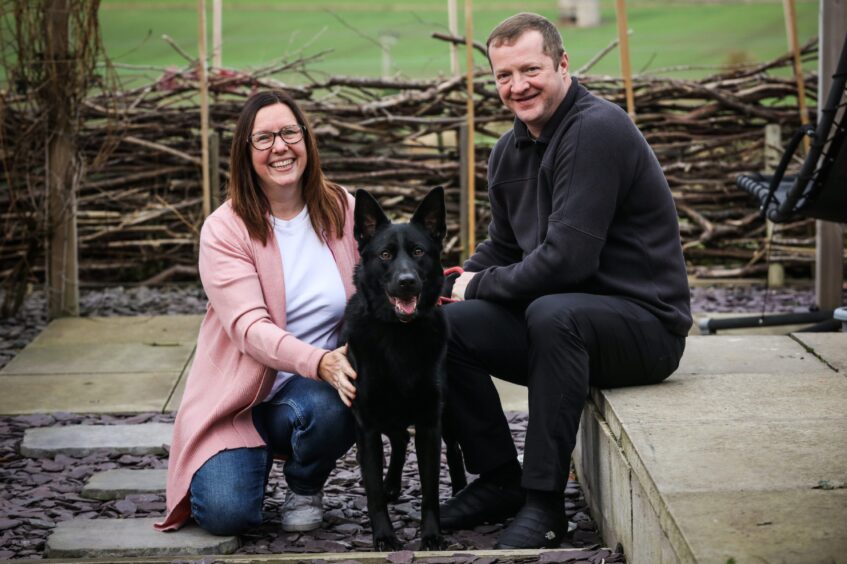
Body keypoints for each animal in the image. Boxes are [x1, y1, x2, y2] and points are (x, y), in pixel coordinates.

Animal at [344, 187, 450, 548]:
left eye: (418, 252)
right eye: (386, 254)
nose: (407, 282)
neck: (398, 334)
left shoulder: (431, 424)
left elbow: (431, 490)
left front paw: (432, 535)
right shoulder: (366, 425)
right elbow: (373, 491)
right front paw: (384, 537)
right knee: (400, 437)